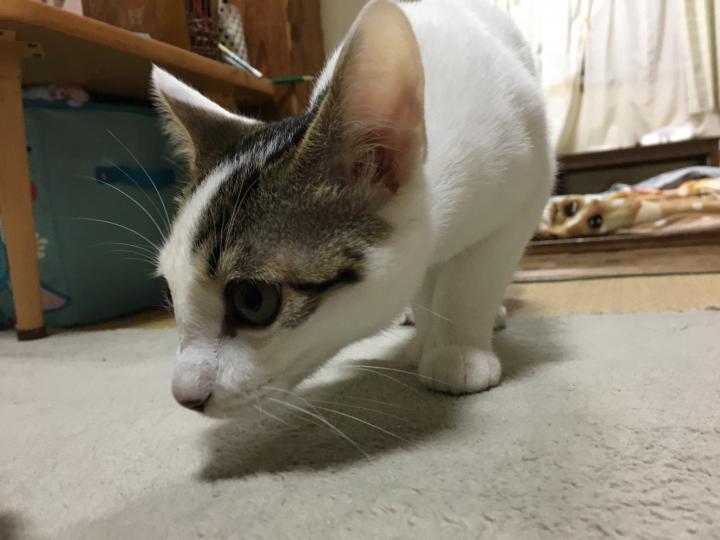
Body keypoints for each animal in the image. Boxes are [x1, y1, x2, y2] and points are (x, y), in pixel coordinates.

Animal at [152, 0, 555, 417]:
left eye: (252, 300)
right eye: (169, 289)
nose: (184, 397)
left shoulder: (532, 183)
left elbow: (472, 281)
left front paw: (457, 348)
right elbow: (424, 282)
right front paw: (427, 337)